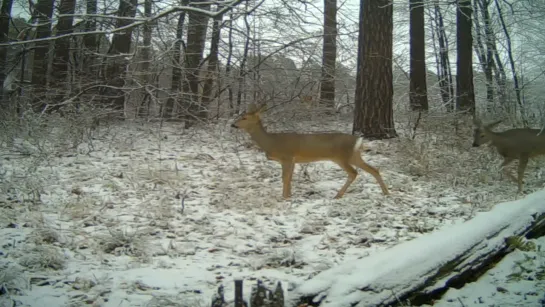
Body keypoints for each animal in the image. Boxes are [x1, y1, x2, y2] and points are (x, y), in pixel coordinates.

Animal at [227, 103, 388, 200]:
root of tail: (358, 140)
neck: (271, 142)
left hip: (341, 157)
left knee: (353, 173)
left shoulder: (286, 157)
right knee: (374, 169)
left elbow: (284, 178)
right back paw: (386, 192)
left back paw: (338, 195)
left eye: (244, 117)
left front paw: (284, 197)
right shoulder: (293, 160)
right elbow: (290, 178)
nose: (233, 124)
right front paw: (289, 195)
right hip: (354, 156)